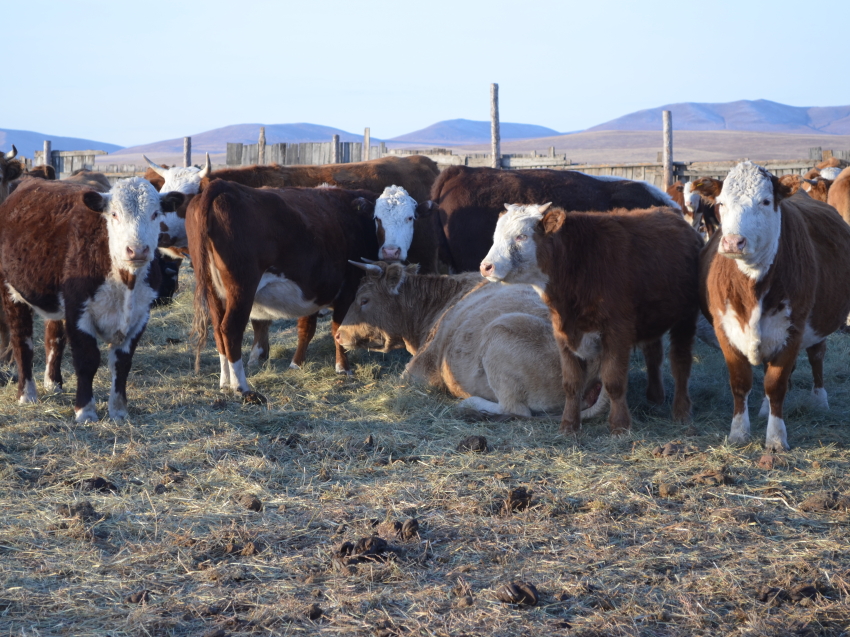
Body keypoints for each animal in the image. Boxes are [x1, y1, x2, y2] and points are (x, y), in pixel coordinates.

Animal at [0, 176, 184, 420]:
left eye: (155, 213)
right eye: (114, 214)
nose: (137, 250)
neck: (125, 281)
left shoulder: (140, 316)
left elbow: (122, 362)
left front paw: (118, 411)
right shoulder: (79, 311)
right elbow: (87, 360)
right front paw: (85, 411)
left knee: (54, 337)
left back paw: (53, 383)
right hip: (11, 292)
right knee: (23, 342)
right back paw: (27, 394)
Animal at [334, 260, 608, 420]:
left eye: (364, 299)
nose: (337, 334)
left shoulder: (418, 370)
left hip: (500, 333)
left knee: (516, 410)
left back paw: (469, 404)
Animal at [480, 202, 700, 432]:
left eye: (521, 236)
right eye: (495, 236)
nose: (486, 267)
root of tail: (669, 211)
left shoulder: (617, 332)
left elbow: (614, 381)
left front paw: (620, 425)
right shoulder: (563, 332)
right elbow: (571, 384)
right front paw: (569, 425)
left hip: (686, 317)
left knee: (680, 363)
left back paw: (681, 411)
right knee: (653, 355)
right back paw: (655, 397)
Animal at [700, 161, 850, 450]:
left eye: (765, 201)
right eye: (721, 203)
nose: (733, 242)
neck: (752, 285)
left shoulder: (793, 329)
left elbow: (777, 384)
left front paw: (777, 438)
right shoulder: (724, 328)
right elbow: (741, 382)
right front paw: (739, 433)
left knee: (816, 356)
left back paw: (819, 400)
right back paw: (762, 407)